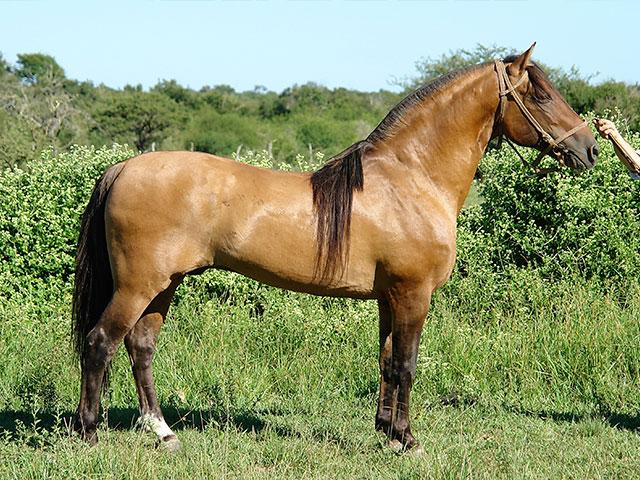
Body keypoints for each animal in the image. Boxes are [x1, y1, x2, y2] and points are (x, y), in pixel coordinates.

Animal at [72, 43, 596, 452]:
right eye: (542, 94)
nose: (589, 148)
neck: (410, 178)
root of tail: (122, 168)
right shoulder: (413, 294)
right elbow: (407, 365)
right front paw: (409, 440)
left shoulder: (390, 298)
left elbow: (387, 362)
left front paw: (386, 432)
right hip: (139, 285)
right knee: (100, 343)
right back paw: (90, 434)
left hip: (165, 284)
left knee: (140, 347)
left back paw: (163, 433)